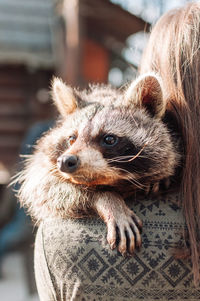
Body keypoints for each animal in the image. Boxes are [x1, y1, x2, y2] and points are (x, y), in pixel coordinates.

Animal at [16, 74, 180, 254]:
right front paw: (108, 200)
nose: (65, 161)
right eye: (71, 138)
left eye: (109, 139)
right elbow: (42, 187)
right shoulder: (42, 165)